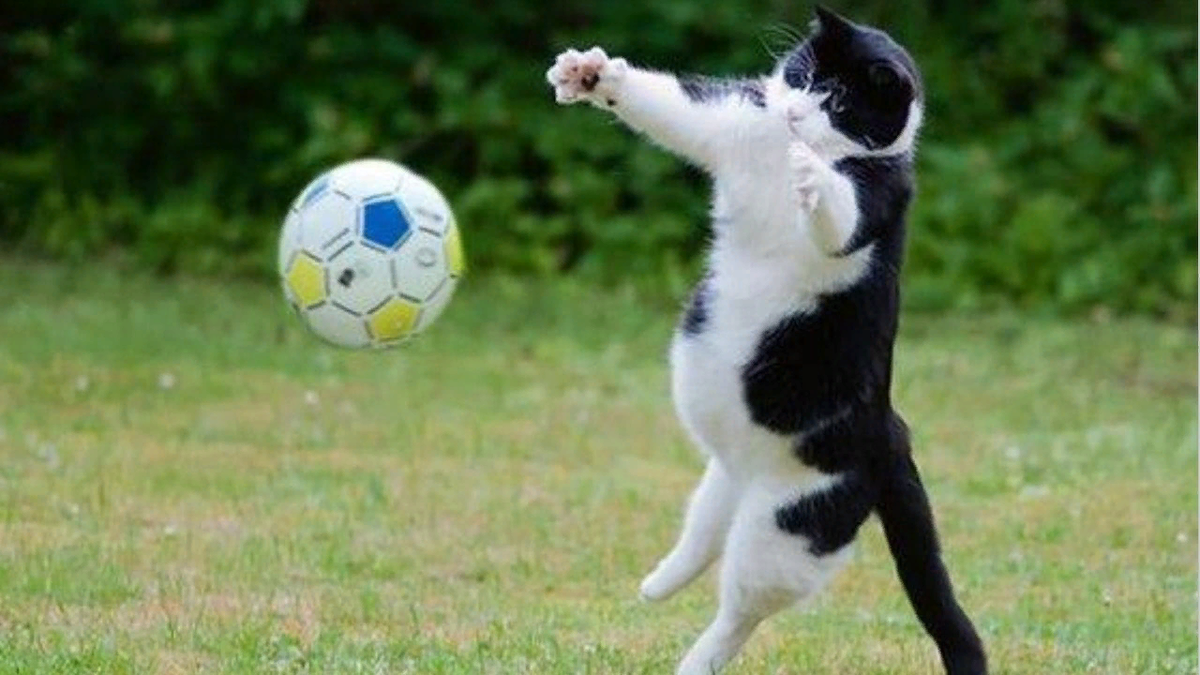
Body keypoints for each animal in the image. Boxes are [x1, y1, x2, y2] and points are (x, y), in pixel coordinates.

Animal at [545, 6, 987, 675]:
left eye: (841, 100)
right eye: (802, 75)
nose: (797, 111)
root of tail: (893, 432)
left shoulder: (877, 198)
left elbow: (839, 215)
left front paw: (814, 177)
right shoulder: (735, 122)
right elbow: (670, 105)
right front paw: (593, 74)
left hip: (788, 525)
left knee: (741, 610)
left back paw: (693, 660)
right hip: (725, 477)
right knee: (703, 534)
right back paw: (658, 582)